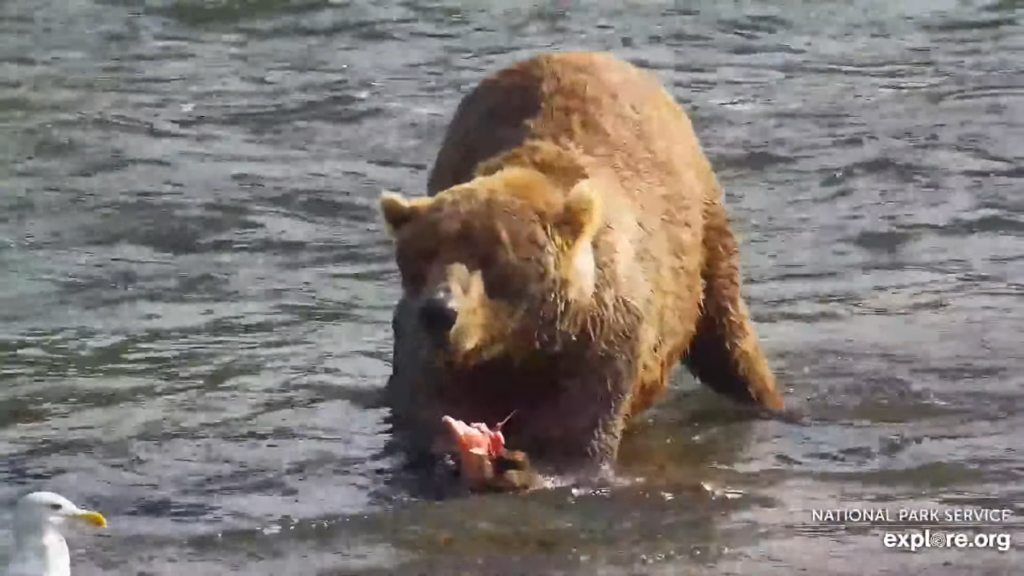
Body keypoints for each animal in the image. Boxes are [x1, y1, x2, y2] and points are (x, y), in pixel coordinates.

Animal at [378, 50, 782, 487]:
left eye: (492, 255)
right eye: (423, 253)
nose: (439, 312)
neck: (521, 343)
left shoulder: (599, 341)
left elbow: (576, 440)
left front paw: (521, 466)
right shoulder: (434, 354)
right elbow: (427, 412)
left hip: (705, 240)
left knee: (729, 341)